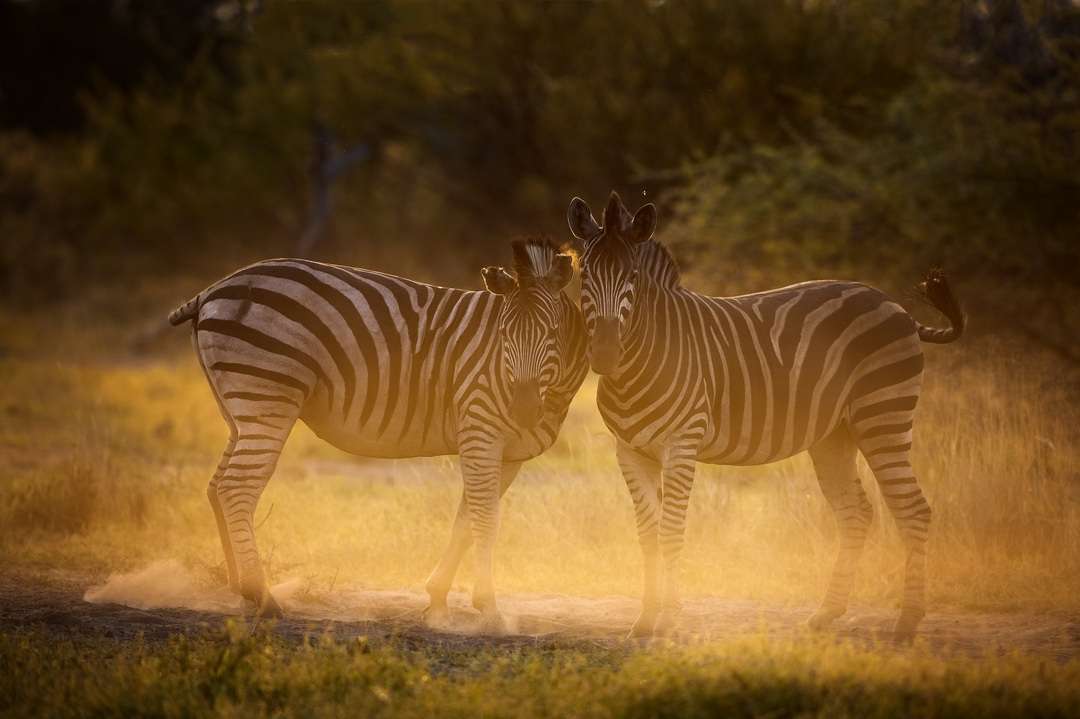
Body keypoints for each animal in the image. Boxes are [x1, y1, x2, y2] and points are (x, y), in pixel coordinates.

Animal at [168, 237, 587, 630]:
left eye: (553, 333)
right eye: (503, 333)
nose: (523, 409)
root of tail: (213, 290)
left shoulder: (508, 452)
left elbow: (466, 519)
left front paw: (438, 599)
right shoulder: (481, 427)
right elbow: (485, 518)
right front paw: (490, 609)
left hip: (238, 409)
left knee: (216, 487)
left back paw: (239, 589)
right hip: (266, 395)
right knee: (236, 488)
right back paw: (262, 595)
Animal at [570, 192, 967, 639]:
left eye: (633, 277)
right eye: (584, 274)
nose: (605, 355)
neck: (643, 357)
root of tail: (895, 305)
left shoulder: (682, 443)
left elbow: (670, 529)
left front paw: (669, 618)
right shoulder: (630, 451)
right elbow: (647, 534)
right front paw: (645, 618)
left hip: (883, 417)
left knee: (913, 510)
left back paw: (907, 622)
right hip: (835, 434)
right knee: (856, 513)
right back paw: (827, 613)